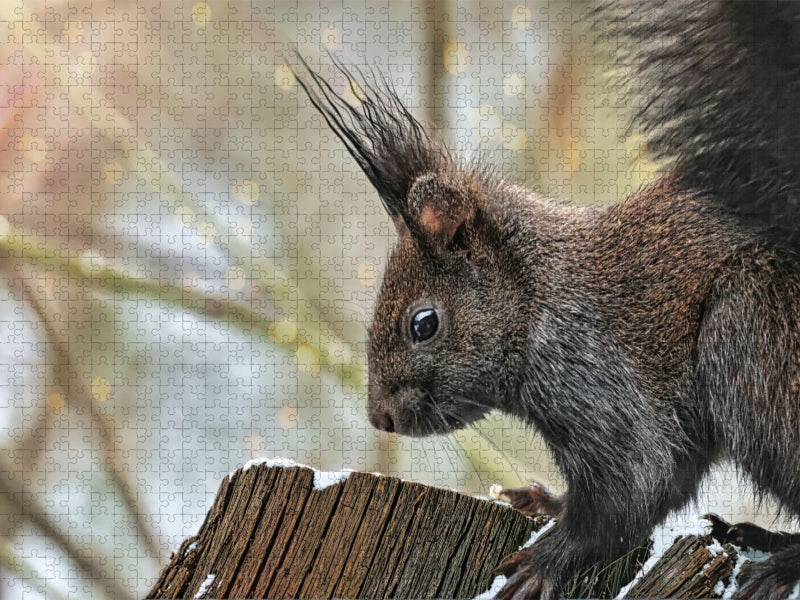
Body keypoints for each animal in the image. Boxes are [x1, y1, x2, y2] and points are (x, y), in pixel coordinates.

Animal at [291, 1, 800, 599]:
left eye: (423, 323)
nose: (380, 417)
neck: (540, 301)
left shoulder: (606, 389)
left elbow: (632, 489)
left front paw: (543, 562)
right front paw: (543, 501)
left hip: (753, 336)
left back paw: (779, 560)